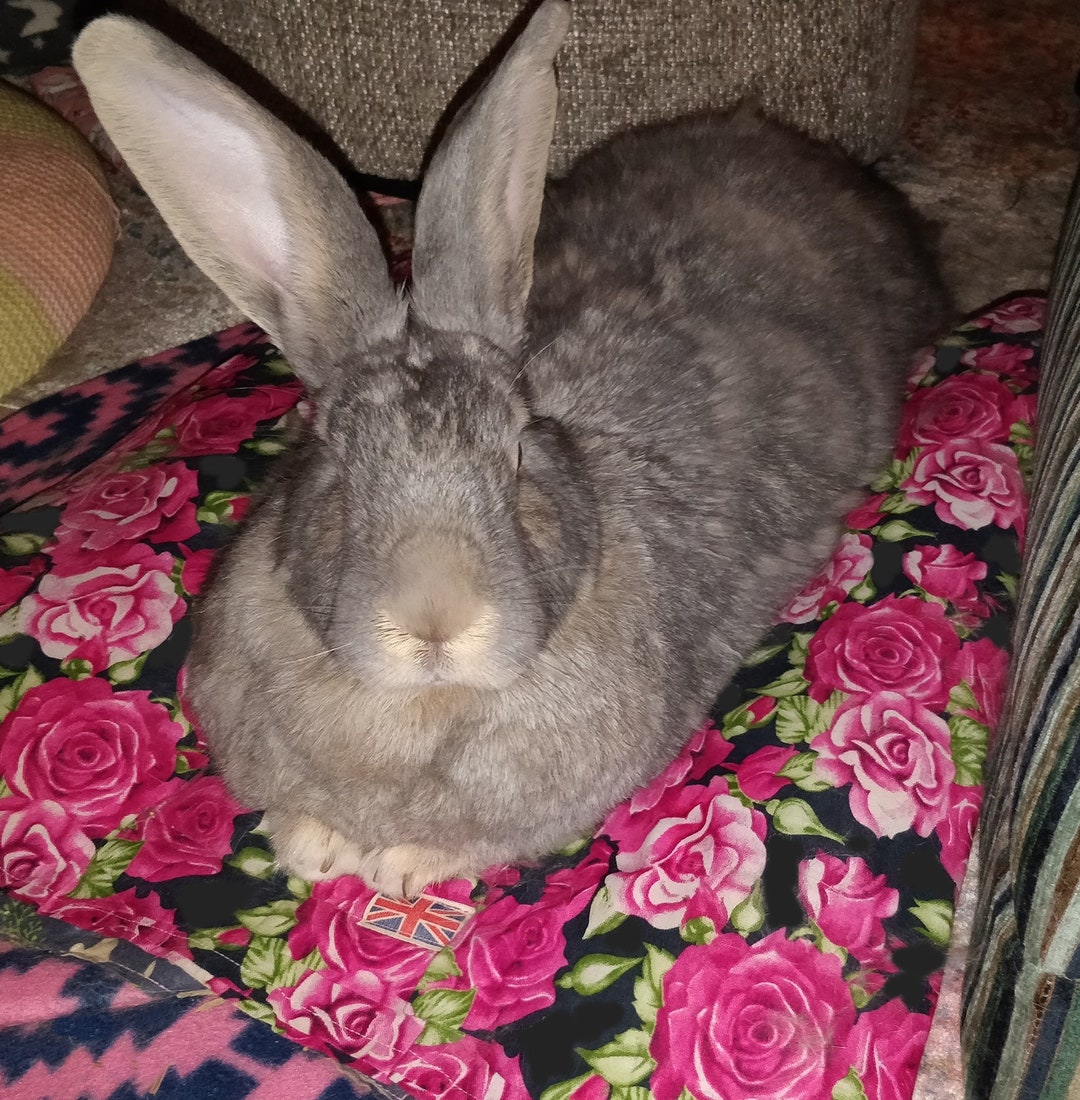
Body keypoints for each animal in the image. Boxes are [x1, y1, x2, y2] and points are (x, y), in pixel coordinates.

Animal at [73, 0, 945, 898]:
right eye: (336, 461)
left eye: (519, 450)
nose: (435, 620)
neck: (423, 706)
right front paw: (314, 847)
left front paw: (401, 868)